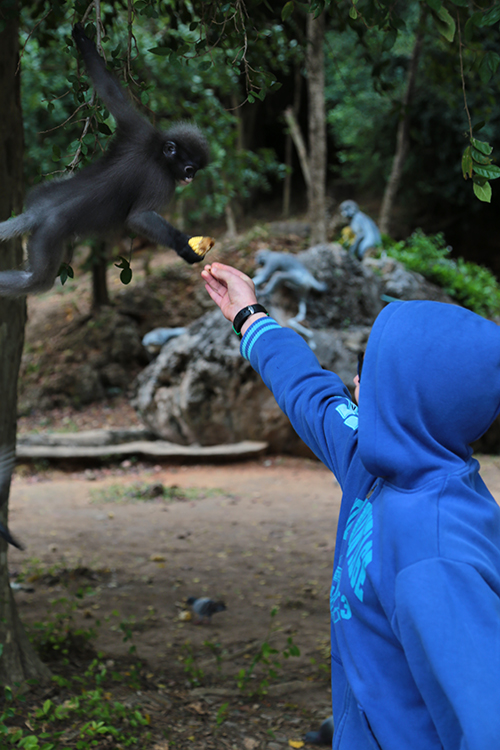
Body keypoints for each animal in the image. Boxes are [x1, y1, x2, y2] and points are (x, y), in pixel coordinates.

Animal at [0, 21, 212, 296]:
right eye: (189, 168)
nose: (191, 178)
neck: (155, 151)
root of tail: (38, 211)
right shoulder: (161, 180)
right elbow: (139, 217)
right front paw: (184, 246)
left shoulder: (138, 129)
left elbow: (109, 90)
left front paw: (82, 38)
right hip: (49, 234)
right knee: (36, 281)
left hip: (41, 199)